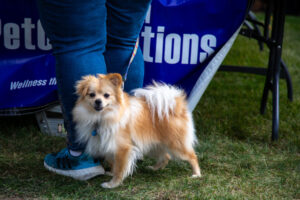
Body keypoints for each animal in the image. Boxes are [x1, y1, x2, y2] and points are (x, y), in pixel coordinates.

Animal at [71, 73, 200, 188]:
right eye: (91, 95)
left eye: (106, 95)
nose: (98, 101)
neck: (101, 118)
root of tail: (176, 106)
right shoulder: (108, 147)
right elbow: (113, 164)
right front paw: (111, 173)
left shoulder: (122, 149)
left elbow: (119, 169)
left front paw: (112, 184)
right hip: (153, 146)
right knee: (166, 157)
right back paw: (154, 168)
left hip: (177, 146)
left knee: (192, 156)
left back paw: (196, 174)